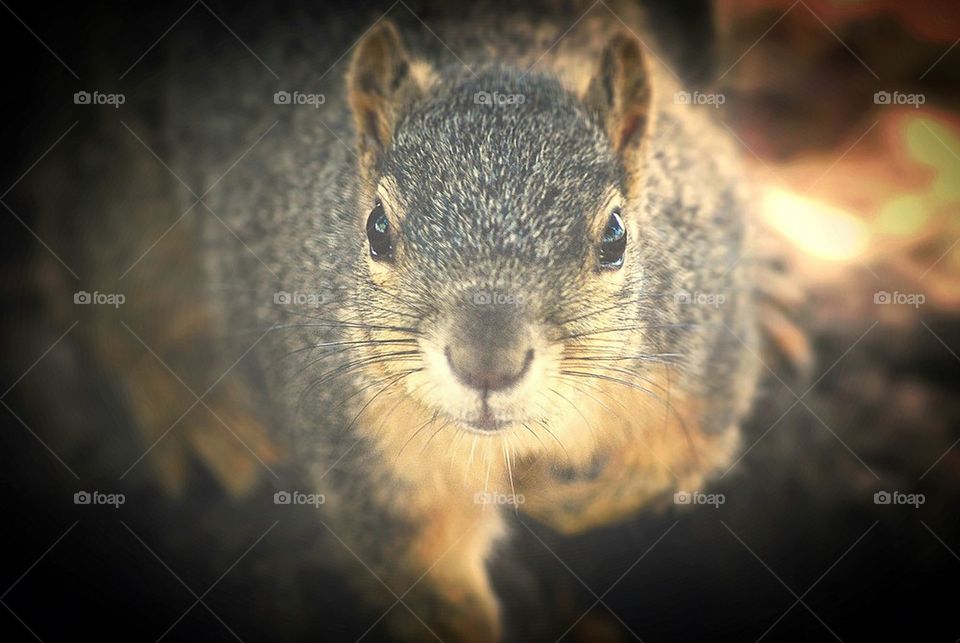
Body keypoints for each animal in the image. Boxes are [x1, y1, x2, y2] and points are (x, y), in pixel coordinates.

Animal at [30, 0, 780, 640]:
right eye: (377, 229)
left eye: (616, 235)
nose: (486, 365)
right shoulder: (362, 455)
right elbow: (421, 578)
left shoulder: (701, 356)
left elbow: (676, 457)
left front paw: (554, 494)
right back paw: (195, 413)